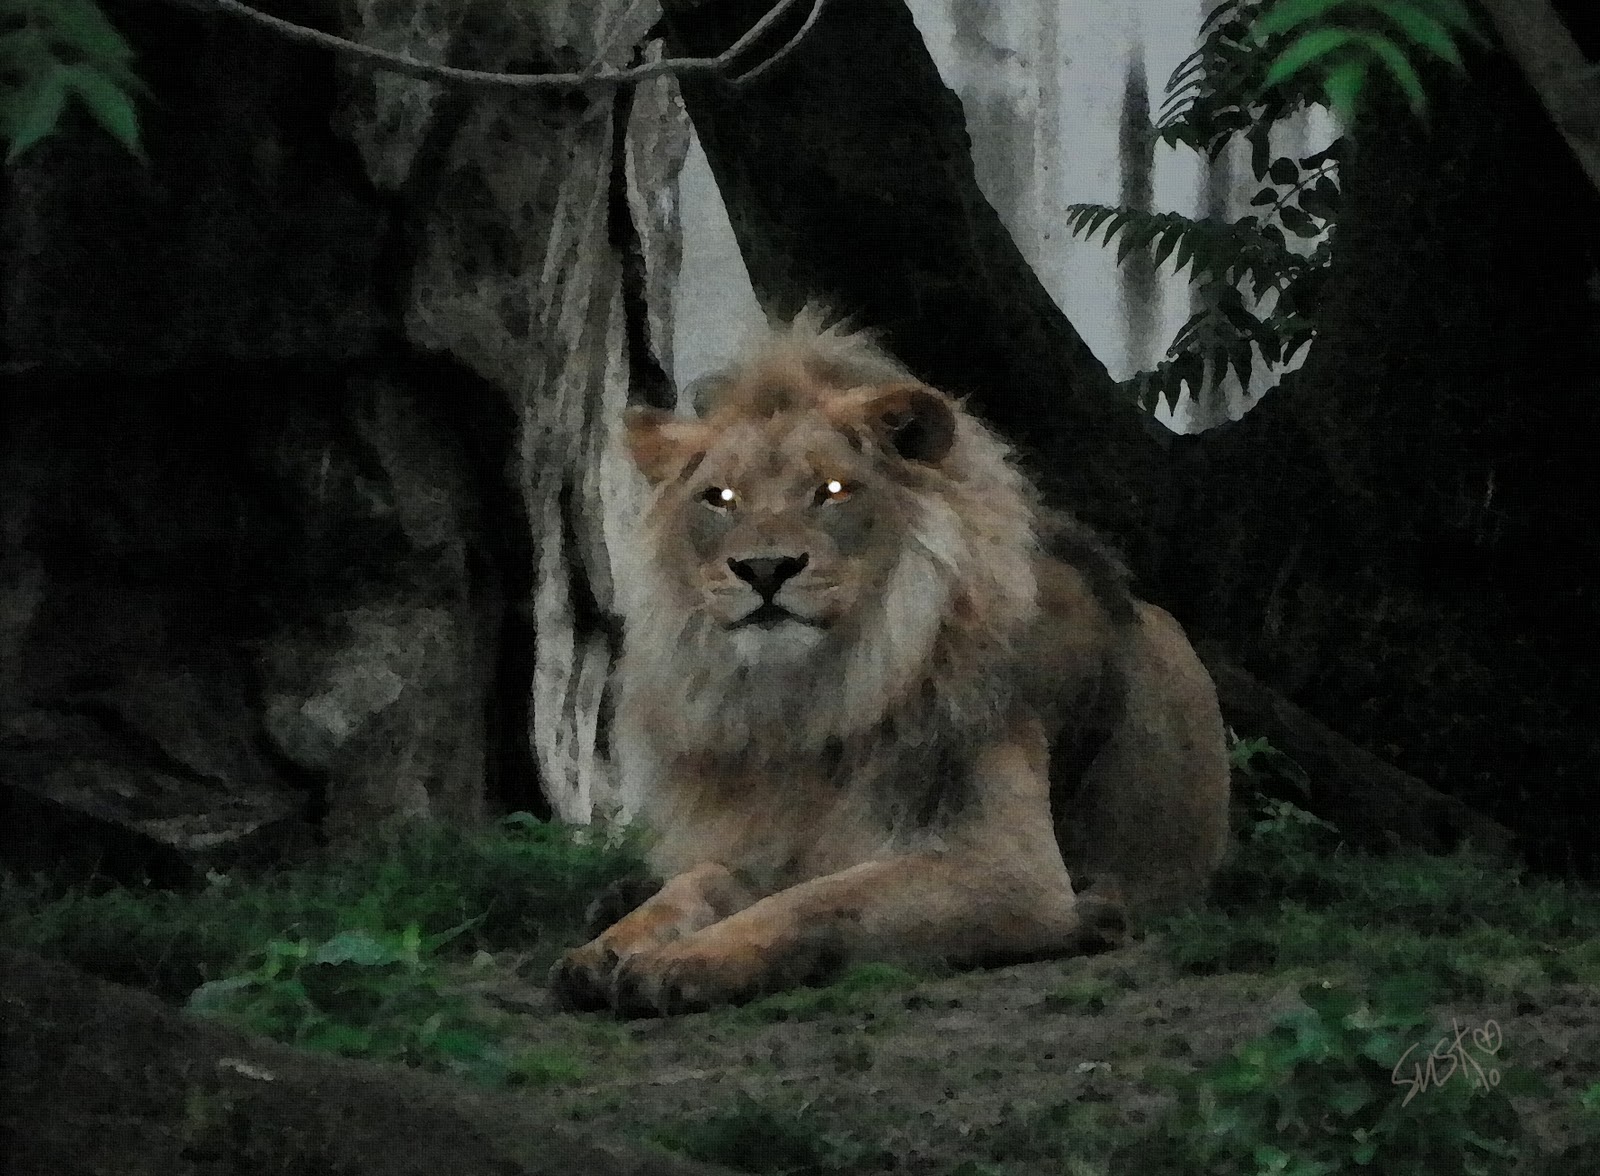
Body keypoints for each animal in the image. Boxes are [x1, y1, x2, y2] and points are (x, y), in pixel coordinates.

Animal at [553, 313, 1235, 1024]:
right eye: (720, 498)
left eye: (830, 491)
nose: (765, 569)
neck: (810, 701)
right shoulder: (763, 840)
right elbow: (693, 885)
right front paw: (608, 947)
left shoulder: (1009, 868)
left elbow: (815, 900)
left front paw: (682, 962)